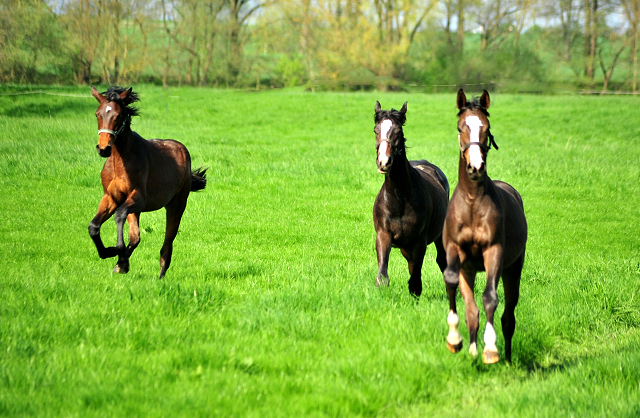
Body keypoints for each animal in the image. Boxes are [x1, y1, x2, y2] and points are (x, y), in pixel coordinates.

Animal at [87, 86, 206, 280]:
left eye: (118, 115)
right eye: (98, 114)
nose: (103, 149)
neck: (120, 162)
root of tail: (182, 150)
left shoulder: (139, 198)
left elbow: (119, 215)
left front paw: (117, 252)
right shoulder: (111, 197)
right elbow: (94, 227)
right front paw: (111, 254)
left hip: (176, 205)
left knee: (167, 243)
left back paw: (159, 274)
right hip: (136, 209)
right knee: (136, 237)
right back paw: (122, 264)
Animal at [370, 101, 450, 298]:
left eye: (398, 131)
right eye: (376, 130)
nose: (384, 162)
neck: (399, 198)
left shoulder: (419, 242)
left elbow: (415, 281)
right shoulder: (383, 235)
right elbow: (382, 276)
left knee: (443, 262)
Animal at [442, 90, 528, 364]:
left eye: (486, 129)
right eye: (461, 127)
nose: (476, 167)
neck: (471, 202)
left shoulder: (494, 251)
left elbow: (490, 297)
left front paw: (490, 349)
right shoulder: (455, 251)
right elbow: (452, 282)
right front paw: (455, 340)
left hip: (512, 269)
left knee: (508, 316)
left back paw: (507, 358)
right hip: (469, 270)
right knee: (472, 311)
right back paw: (471, 349)